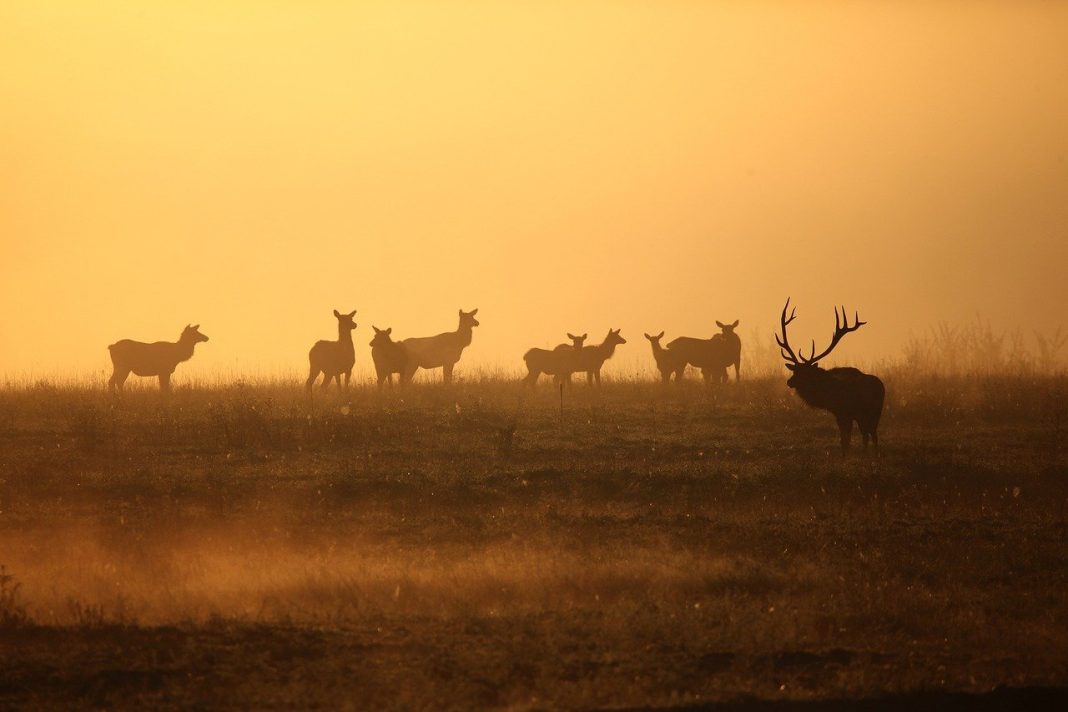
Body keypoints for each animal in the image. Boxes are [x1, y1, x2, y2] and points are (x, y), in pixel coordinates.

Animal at [777, 298, 884, 454]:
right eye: (794, 370)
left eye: (806, 373)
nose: (789, 381)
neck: (827, 395)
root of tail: (881, 387)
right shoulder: (845, 414)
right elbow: (847, 438)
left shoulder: (842, 412)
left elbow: (845, 439)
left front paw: (845, 455)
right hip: (870, 413)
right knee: (870, 434)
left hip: (869, 412)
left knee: (871, 434)